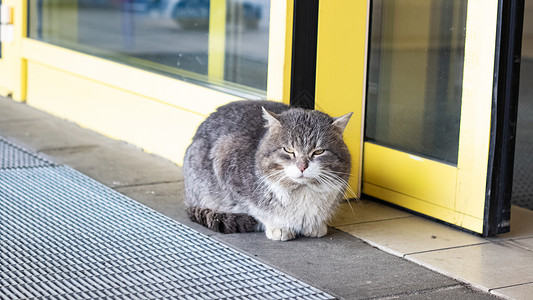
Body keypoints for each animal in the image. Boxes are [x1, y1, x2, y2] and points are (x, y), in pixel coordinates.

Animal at [183, 101, 354, 241]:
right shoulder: (227, 165)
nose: (302, 166)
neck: (303, 191)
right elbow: (257, 210)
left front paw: (316, 225)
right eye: (288, 150)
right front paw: (278, 226)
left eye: (318, 152)